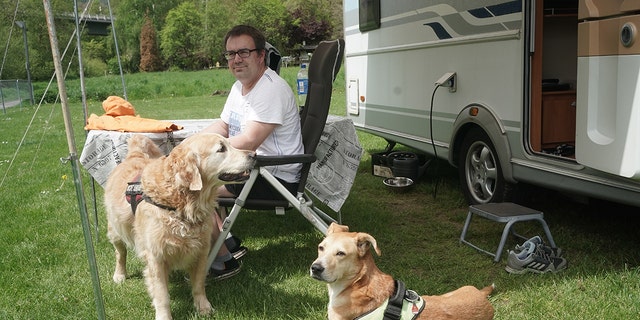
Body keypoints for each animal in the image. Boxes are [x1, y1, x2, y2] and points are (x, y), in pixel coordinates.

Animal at [104, 132, 254, 320]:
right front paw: (164, 316)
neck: (181, 203)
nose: (254, 155)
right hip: (115, 230)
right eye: (221, 149)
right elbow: (162, 295)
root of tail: (135, 155)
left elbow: (198, 285)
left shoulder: (201, 251)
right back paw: (120, 274)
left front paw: (203, 307)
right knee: (120, 253)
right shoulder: (156, 257)